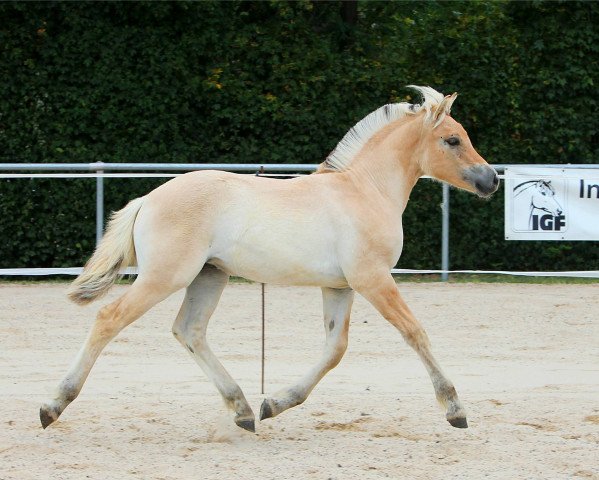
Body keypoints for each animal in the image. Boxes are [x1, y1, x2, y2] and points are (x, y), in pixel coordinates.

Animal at [39, 85, 500, 432]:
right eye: (453, 139)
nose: (492, 180)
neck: (364, 191)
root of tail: (148, 199)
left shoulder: (340, 286)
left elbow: (335, 349)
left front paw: (275, 404)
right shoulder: (373, 279)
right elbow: (415, 332)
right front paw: (455, 409)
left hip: (209, 276)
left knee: (189, 331)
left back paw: (243, 409)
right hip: (164, 277)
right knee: (109, 318)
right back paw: (52, 405)